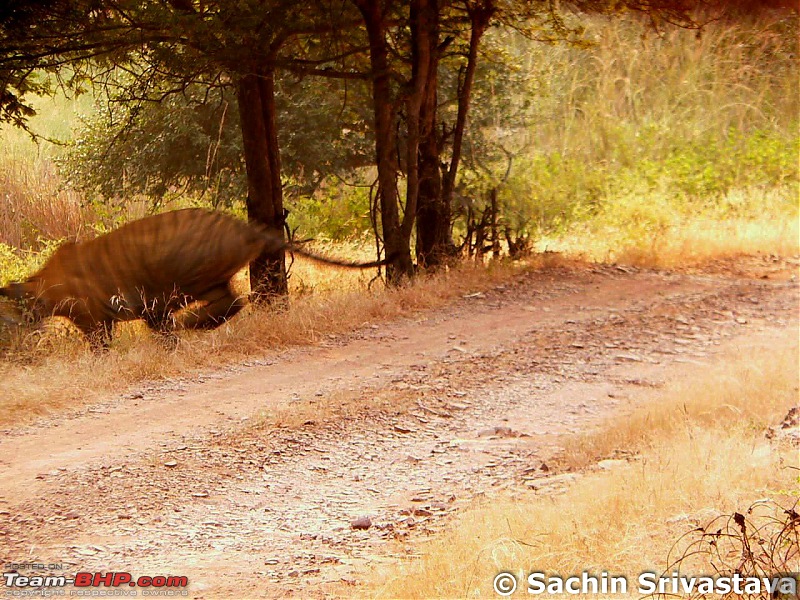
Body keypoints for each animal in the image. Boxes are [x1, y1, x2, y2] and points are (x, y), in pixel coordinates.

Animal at [0, 209, 388, 346]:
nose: (19, 327)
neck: (44, 285)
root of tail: (243, 226)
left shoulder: (95, 320)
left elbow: (100, 345)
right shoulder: (112, 317)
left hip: (182, 281)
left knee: (226, 304)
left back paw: (188, 324)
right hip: (207, 282)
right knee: (233, 302)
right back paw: (193, 325)